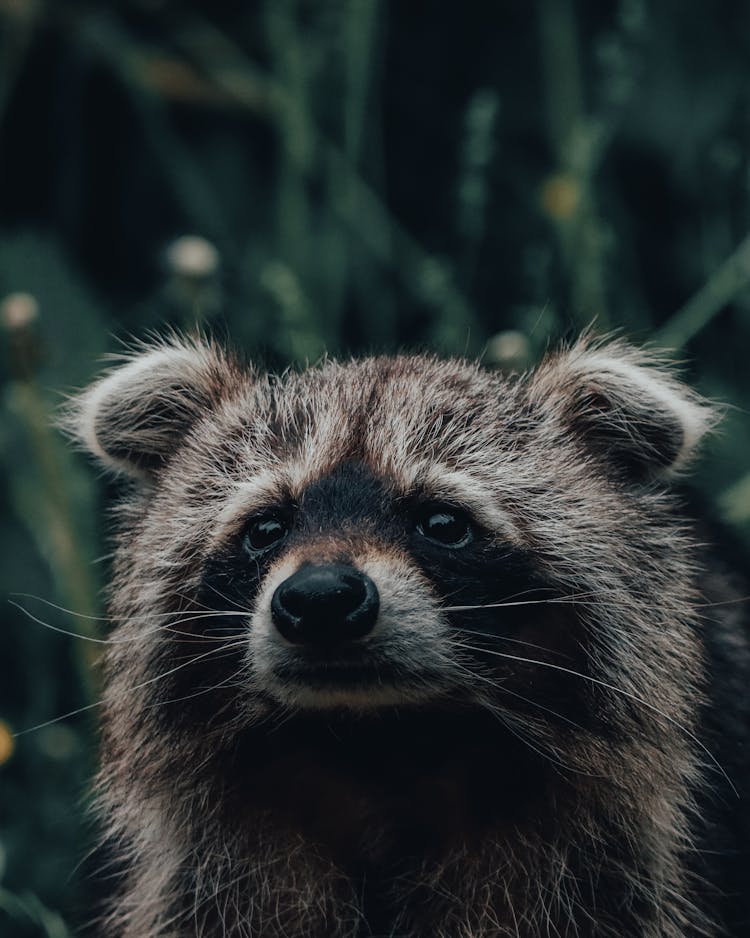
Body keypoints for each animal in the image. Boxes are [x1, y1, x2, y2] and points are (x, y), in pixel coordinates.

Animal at [66, 332, 750, 932]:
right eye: (265, 528)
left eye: (443, 522)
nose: (320, 599)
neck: (381, 743)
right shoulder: (219, 864)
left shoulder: (606, 857)